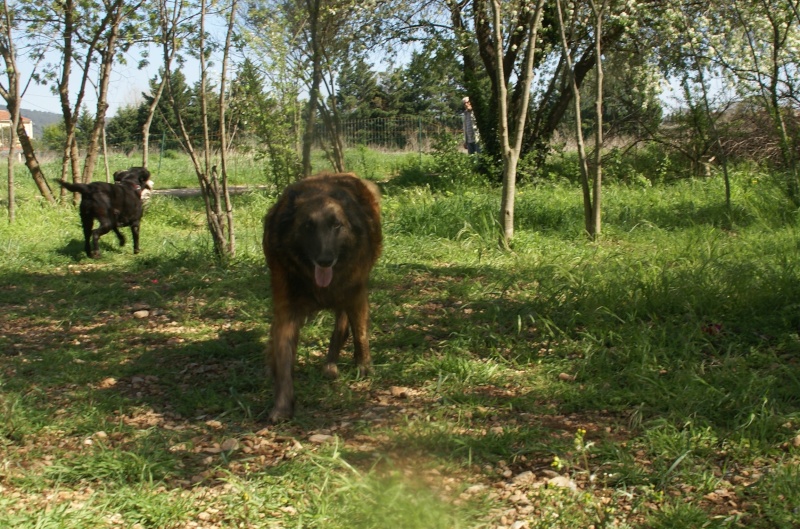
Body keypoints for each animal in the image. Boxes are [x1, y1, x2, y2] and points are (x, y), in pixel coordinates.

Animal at [264, 173, 382, 420]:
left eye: (337, 225)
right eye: (308, 226)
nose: (325, 260)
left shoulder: (355, 294)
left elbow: (360, 334)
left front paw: (364, 366)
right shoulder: (287, 309)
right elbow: (283, 357)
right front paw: (282, 405)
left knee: (343, 323)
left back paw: (331, 363)